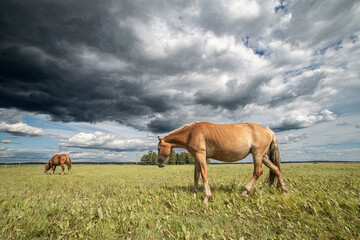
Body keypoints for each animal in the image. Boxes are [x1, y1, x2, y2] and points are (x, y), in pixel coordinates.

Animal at [158, 122, 290, 202]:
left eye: (159, 148)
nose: (159, 163)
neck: (191, 133)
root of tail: (269, 131)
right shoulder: (197, 156)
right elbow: (196, 175)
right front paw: (195, 192)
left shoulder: (201, 155)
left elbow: (204, 175)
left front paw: (207, 197)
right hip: (263, 156)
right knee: (276, 169)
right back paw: (284, 190)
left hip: (257, 154)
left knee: (258, 171)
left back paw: (245, 192)